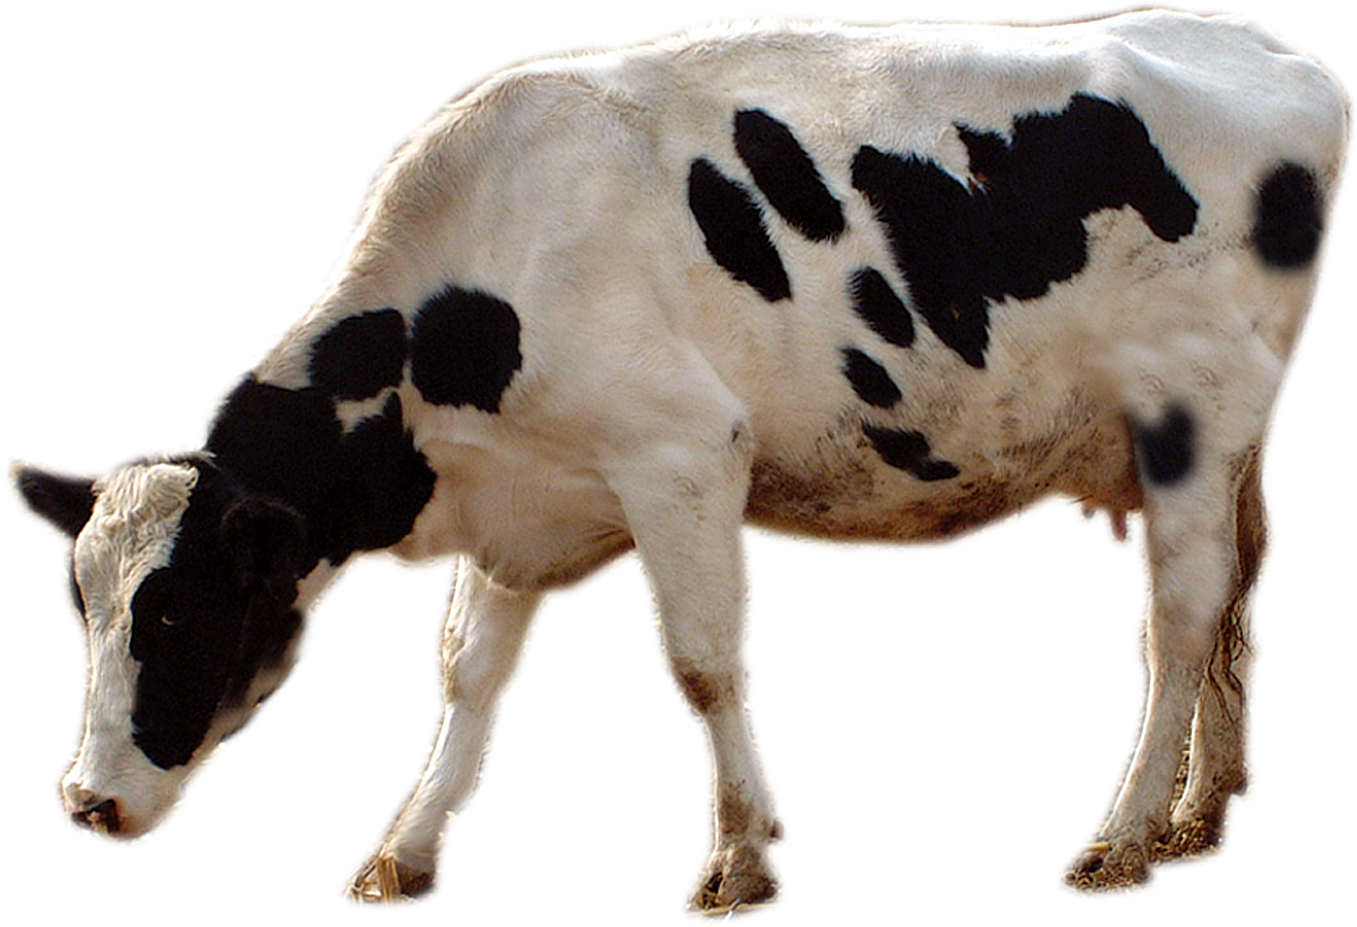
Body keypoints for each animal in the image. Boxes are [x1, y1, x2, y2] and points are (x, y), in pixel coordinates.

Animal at [5, 9, 1346, 911]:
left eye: (177, 614)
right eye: (85, 607)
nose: (84, 802)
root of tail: (1255, 45)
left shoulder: (682, 458)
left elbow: (700, 667)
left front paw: (740, 857)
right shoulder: (523, 507)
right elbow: (470, 678)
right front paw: (406, 850)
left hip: (1186, 424)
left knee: (1179, 624)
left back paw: (1126, 838)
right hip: (1229, 453)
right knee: (1237, 605)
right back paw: (1204, 810)